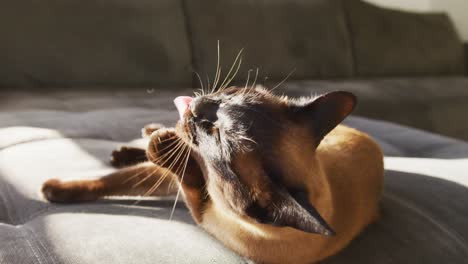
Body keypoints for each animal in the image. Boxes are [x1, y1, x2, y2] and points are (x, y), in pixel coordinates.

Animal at [41, 85, 384, 262]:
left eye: (218, 139)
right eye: (231, 99)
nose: (199, 109)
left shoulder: (198, 202)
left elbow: (155, 172)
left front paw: (52, 189)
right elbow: (115, 179)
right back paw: (143, 138)